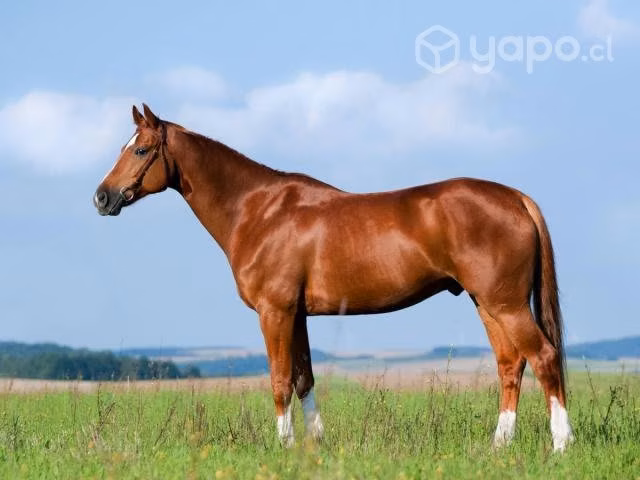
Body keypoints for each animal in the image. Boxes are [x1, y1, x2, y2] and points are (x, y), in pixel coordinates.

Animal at [94, 104, 573, 451]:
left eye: (140, 150)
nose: (101, 197)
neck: (258, 210)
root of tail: (515, 198)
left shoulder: (275, 312)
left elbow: (279, 380)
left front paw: (285, 448)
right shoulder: (298, 315)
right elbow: (304, 378)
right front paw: (315, 445)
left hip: (505, 304)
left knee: (544, 357)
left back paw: (561, 445)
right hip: (487, 303)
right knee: (510, 364)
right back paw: (499, 445)